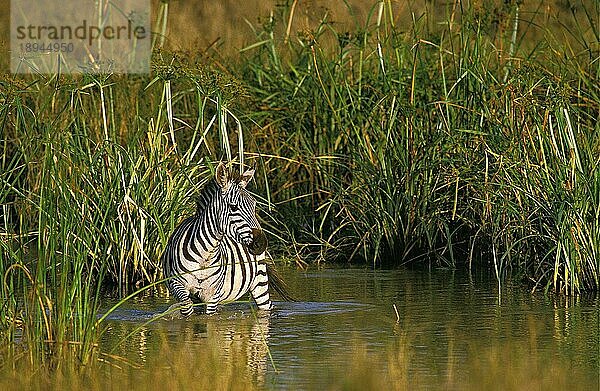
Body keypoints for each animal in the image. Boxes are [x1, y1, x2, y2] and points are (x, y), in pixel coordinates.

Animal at [161, 162, 290, 318]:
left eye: (254, 206)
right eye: (233, 207)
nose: (261, 244)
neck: (205, 256)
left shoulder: (213, 294)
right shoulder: (178, 286)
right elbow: (188, 312)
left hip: (260, 280)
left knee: (266, 306)